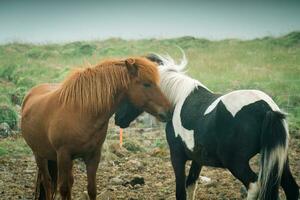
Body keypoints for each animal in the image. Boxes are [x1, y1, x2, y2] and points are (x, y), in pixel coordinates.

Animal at [21, 57, 171, 199]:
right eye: (146, 84)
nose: (168, 111)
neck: (81, 113)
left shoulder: (93, 156)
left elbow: (91, 189)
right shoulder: (63, 155)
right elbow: (63, 189)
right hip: (40, 155)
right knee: (47, 183)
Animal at [113, 53, 298, 200]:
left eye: (126, 90)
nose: (117, 119)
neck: (178, 98)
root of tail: (266, 108)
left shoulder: (177, 156)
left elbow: (181, 191)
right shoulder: (197, 158)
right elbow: (190, 186)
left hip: (236, 163)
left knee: (254, 186)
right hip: (279, 159)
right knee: (292, 189)